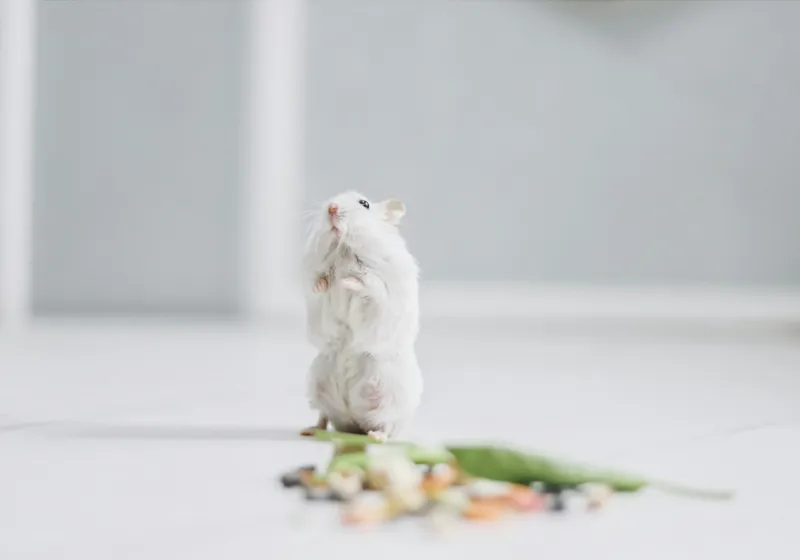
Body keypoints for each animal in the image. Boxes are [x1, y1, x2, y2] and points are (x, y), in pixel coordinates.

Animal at [300, 191, 422, 442]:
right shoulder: (314, 270)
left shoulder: (381, 285)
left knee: (386, 423)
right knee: (323, 415)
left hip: (390, 396)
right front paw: (325, 284)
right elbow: (317, 282)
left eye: (364, 203)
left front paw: (345, 280)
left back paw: (377, 436)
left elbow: (367, 284)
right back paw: (309, 430)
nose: (332, 207)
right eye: (333, 198)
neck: (343, 247)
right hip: (317, 382)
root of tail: (354, 422)